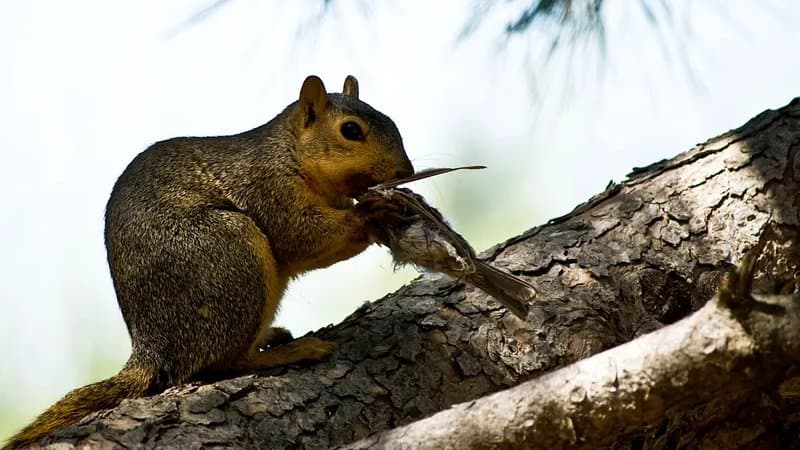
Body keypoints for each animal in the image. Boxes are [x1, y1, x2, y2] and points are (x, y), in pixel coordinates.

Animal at [6, 75, 413, 449]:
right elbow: (305, 238)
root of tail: (152, 346)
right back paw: (290, 352)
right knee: (223, 362)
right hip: (232, 256)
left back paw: (272, 337)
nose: (405, 173)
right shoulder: (270, 191)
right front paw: (372, 214)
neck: (290, 154)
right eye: (351, 130)